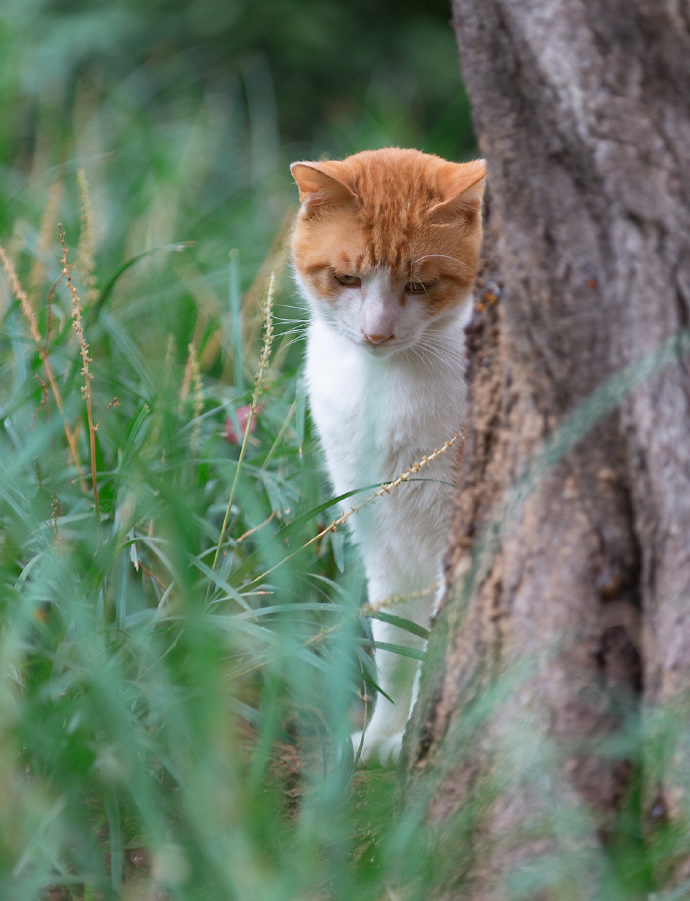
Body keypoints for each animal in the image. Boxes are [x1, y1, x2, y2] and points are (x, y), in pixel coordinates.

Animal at [290, 149, 484, 768]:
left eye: (420, 284)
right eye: (346, 278)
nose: (376, 333)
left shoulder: (454, 540)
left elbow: (434, 652)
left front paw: (410, 741)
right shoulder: (382, 541)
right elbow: (396, 650)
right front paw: (379, 739)